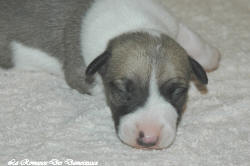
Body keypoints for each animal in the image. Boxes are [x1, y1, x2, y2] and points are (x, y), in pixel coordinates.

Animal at [0, 0, 220, 148]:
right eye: (122, 90)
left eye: (177, 91)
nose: (149, 139)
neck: (134, 24)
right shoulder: (82, 77)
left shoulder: (168, 21)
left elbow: (189, 37)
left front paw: (210, 55)